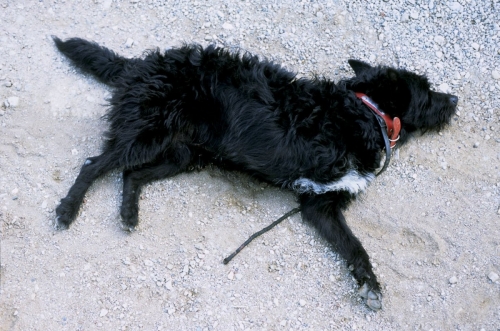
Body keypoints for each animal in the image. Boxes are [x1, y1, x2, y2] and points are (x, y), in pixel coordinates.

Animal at [51, 37, 458, 312]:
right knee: (94, 165)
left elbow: (353, 245)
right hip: (145, 136)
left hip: (182, 155)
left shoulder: (320, 205)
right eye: (427, 91)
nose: (455, 99)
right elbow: (355, 242)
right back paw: (68, 210)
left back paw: (129, 213)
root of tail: (139, 66)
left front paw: (369, 283)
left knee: (131, 176)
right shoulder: (320, 196)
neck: (366, 113)